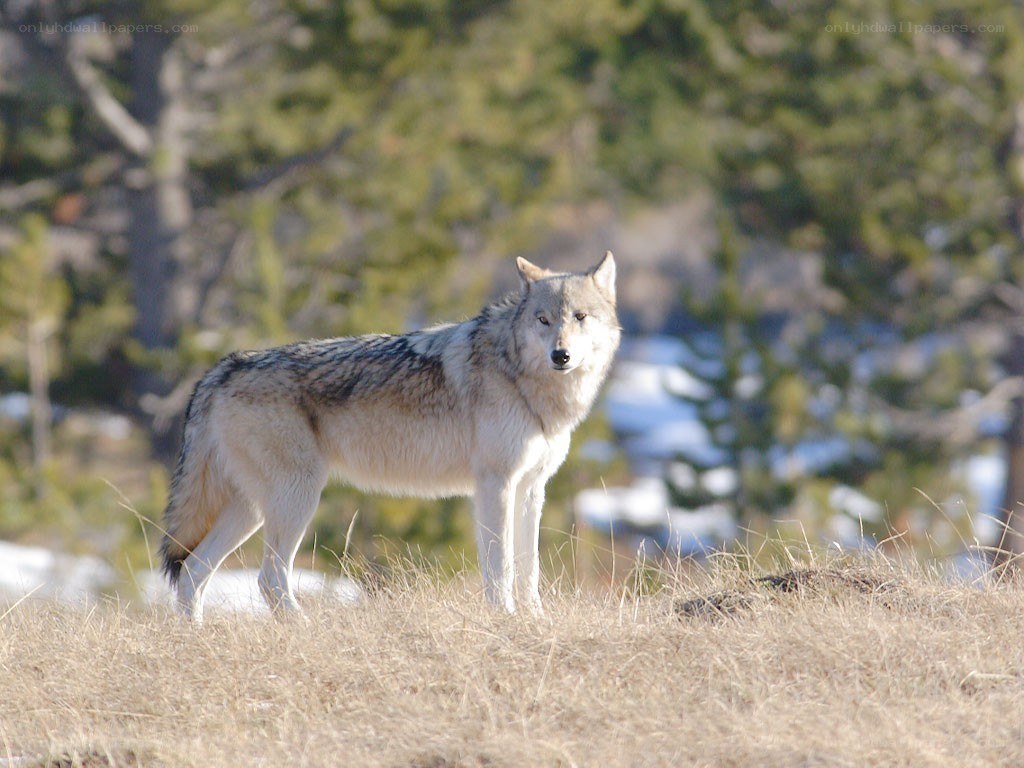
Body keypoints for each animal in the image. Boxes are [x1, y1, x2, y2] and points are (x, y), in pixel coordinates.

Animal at [160, 252, 619, 619]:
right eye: (543, 319)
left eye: (579, 317)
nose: (561, 355)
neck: (521, 377)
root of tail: (223, 367)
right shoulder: (496, 484)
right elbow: (501, 566)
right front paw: (504, 619)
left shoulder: (530, 488)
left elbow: (529, 569)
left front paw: (534, 620)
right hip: (297, 500)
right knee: (269, 578)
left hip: (253, 510)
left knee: (193, 574)